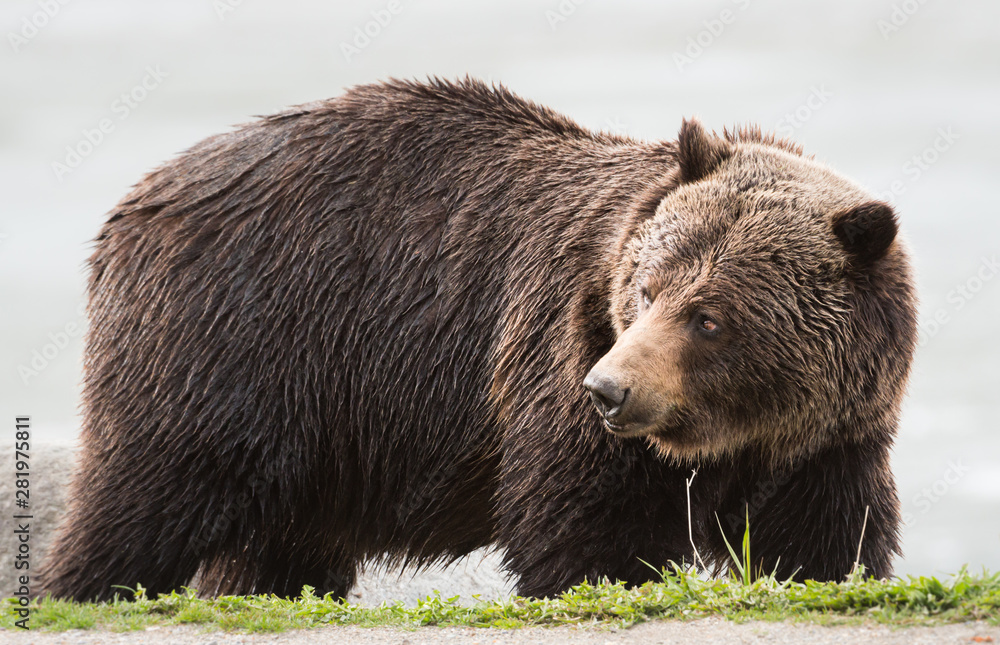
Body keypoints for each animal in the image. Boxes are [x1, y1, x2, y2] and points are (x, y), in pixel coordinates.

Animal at [41, 78, 916, 600]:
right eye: (647, 289)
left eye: (709, 315)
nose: (612, 389)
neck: (734, 434)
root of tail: (134, 200)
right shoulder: (558, 350)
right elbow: (582, 529)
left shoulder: (828, 441)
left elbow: (824, 542)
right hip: (233, 345)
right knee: (139, 498)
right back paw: (80, 585)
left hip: (313, 437)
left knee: (275, 545)